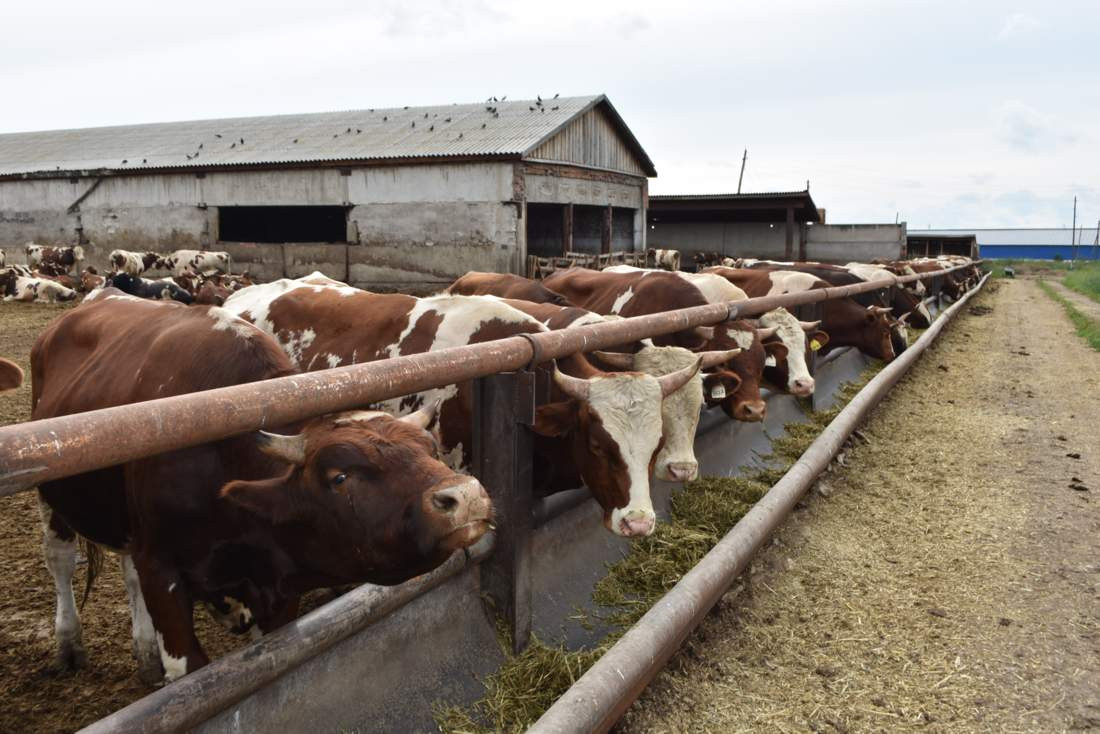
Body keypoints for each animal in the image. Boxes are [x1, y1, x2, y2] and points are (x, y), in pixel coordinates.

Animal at [33, 294, 490, 686]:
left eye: (430, 449)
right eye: (339, 477)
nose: (466, 497)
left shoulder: (274, 588)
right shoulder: (160, 569)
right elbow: (188, 670)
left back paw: (144, 654)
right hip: (53, 497)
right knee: (60, 559)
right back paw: (69, 645)